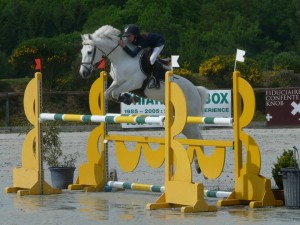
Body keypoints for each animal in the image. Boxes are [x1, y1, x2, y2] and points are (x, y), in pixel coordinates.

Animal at [78, 25, 207, 172]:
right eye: (82, 51)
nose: (83, 73)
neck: (122, 59)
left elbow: (115, 93)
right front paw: (128, 98)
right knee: (194, 138)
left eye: (89, 52)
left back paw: (200, 166)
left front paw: (129, 99)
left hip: (189, 116)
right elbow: (108, 94)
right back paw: (198, 166)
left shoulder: (133, 83)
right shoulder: (117, 82)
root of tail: (195, 90)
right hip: (182, 122)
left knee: (198, 137)